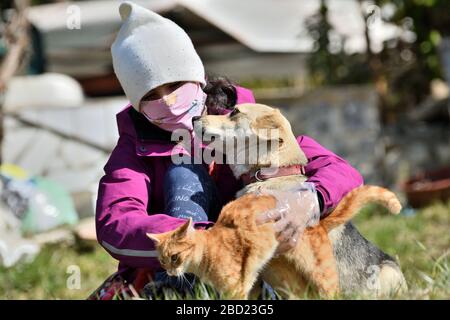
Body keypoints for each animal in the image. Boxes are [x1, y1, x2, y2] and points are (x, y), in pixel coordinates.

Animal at [147, 184, 400, 298]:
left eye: (175, 257)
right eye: (162, 261)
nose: (169, 272)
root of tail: (317, 222)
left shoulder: (236, 289)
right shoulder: (247, 287)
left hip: (323, 277)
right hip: (286, 281)